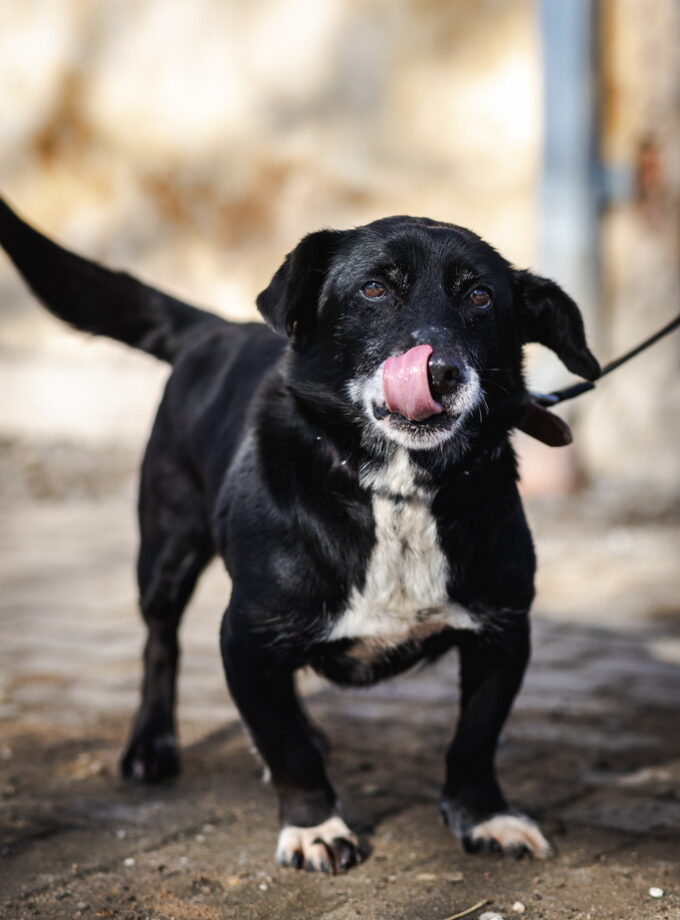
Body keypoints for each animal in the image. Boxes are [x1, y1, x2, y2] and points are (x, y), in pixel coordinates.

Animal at [0, 200, 600, 872]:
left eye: (479, 296)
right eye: (374, 288)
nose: (441, 373)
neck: (397, 491)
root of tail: (214, 330)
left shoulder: (502, 632)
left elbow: (474, 741)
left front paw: (485, 816)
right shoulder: (246, 636)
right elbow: (288, 749)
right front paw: (314, 825)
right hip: (165, 550)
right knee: (161, 643)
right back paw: (152, 743)